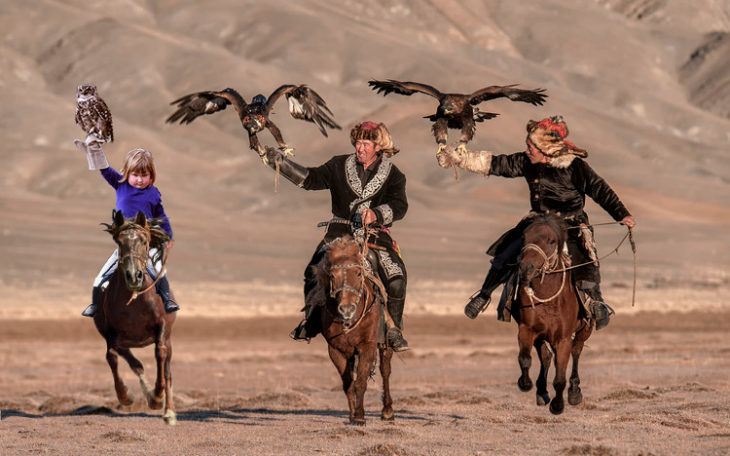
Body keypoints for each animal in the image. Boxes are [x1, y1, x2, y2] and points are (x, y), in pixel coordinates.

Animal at [93, 212, 177, 426]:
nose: (133, 276)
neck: (135, 300)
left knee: (167, 370)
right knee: (136, 364)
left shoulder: (161, 328)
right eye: (119, 242)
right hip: (124, 342)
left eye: (145, 241)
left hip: (167, 338)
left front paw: (159, 397)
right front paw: (125, 396)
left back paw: (166, 408)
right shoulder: (111, 334)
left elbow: (160, 356)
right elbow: (111, 357)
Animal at [312, 237, 396, 426]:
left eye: (358, 274)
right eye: (332, 276)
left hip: (385, 345)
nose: (346, 309)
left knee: (385, 371)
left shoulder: (367, 346)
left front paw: (359, 416)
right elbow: (348, 384)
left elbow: (361, 382)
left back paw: (387, 411)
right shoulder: (336, 350)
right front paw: (352, 415)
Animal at [512, 214, 592, 414]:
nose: (525, 268)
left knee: (576, 352)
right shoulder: (527, 329)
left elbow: (560, 378)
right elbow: (525, 359)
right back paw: (541, 392)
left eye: (551, 241)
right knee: (546, 356)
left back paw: (574, 392)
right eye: (524, 237)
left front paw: (558, 405)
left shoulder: (563, 339)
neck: (547, 297)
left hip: (584, 331)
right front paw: (525, 383)